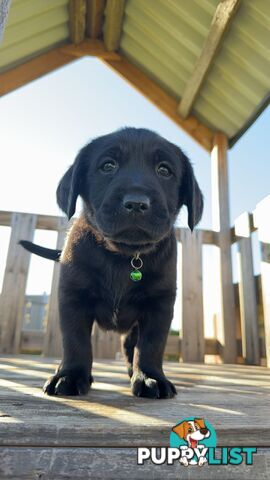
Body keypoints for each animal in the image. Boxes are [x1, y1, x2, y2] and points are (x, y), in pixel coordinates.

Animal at [21, 126, 202, 398]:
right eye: (108, 165)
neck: (125, 257)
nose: (136, 203)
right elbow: (75, 340)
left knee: (130, 346)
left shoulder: (160, 304)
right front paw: (70, 375)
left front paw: (150, 377)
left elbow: (151, 344)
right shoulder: (73, 297)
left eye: (164, 170)